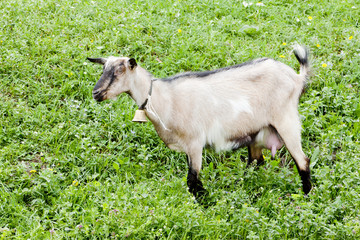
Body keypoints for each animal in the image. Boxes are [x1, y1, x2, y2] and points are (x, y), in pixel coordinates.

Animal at [88, 45, 312, 202]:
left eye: (119, 72)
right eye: (103, 70)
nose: (96, 93)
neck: (164, 98)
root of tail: (297, 78)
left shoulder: (194, 142)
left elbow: (192, 179)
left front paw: (204, 202)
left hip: (286, 120)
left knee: (302, 161)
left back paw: (305, 196)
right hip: (257, 132)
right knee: (257, 161)